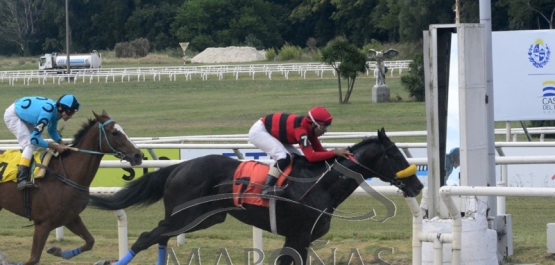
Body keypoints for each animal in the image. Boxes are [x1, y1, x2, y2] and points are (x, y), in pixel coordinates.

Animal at [0, 110, 146, 262]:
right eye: (114, 133)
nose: (138, 155)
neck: (66, 176)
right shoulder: (42, 223)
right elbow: (33, 259)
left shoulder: (70, 217)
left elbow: (90, 241)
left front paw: (58, 251)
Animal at [89, 127, 424, 262]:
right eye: (395, 155)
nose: (418, 186)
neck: (321, 184)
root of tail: (179, 167)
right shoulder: (298, 235)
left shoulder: (300, 239)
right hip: (186, 215)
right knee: (148, 236)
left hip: (203, 219)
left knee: (159, 238)